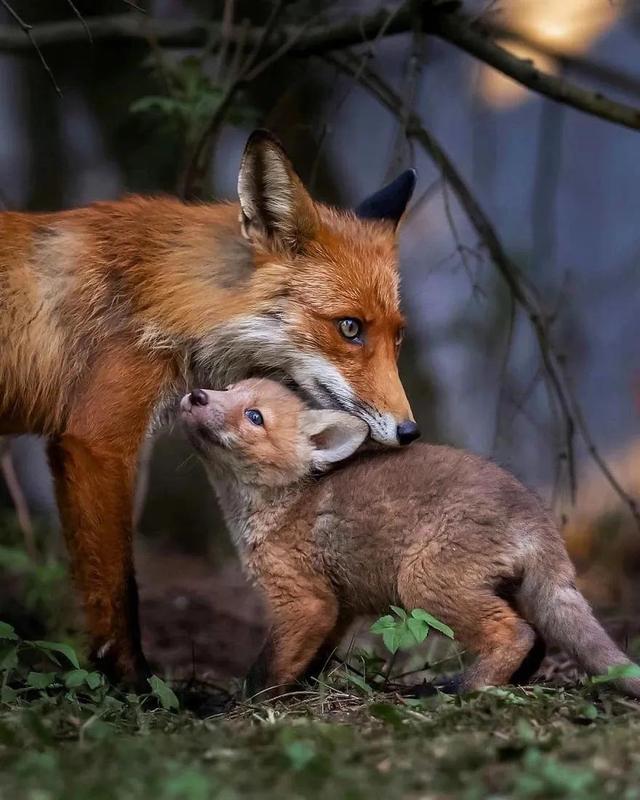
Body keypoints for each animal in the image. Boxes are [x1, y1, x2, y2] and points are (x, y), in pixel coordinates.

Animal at [0, 128, 418, 684]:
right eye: (349, 327)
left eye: (398, 337)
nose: (410, 431)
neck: (164, 296)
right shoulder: (96, 443)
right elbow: (119, 589)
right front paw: (132, 684)